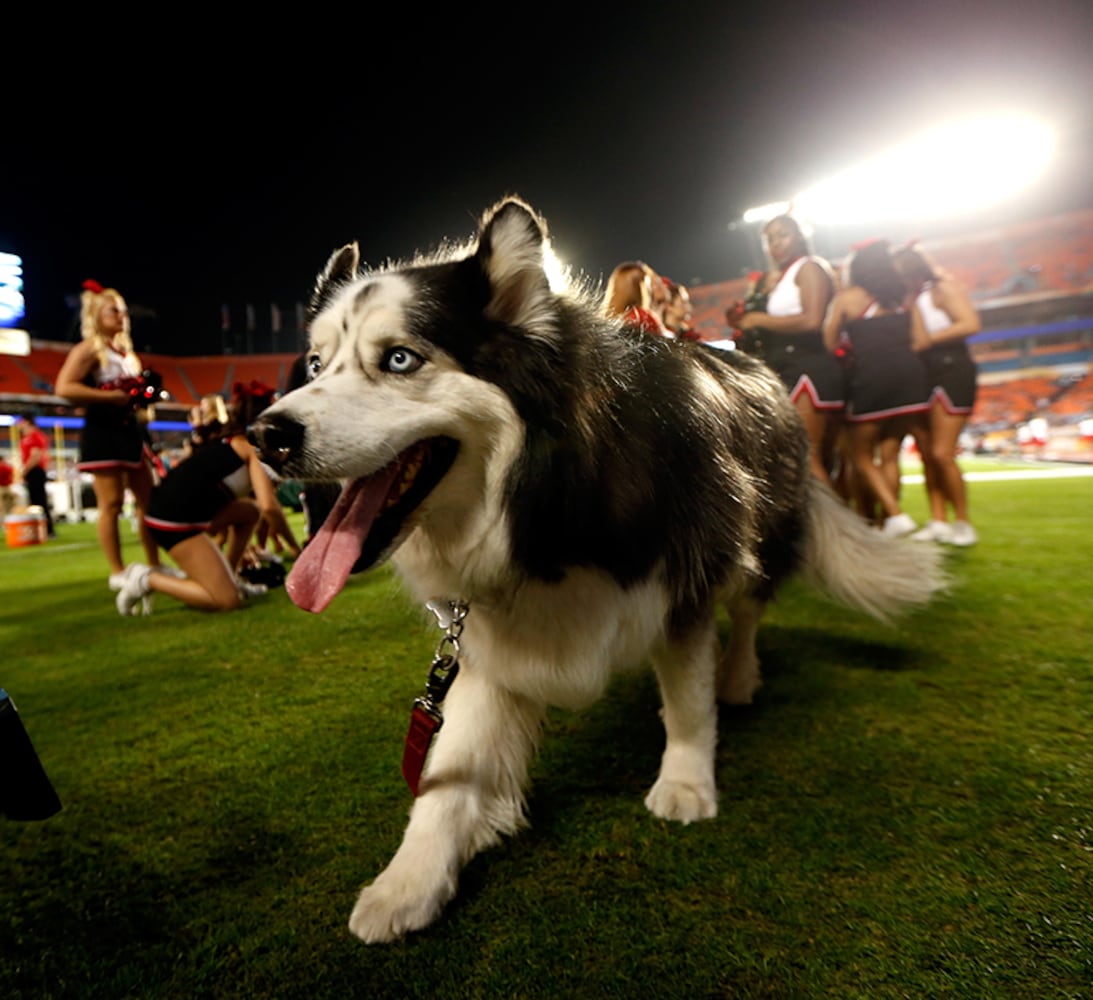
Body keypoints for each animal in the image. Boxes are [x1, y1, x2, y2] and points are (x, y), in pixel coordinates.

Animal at [250, 197, 948, 944]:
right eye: (314, 364)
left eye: (400, 358)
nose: (264, 435)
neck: (550, 503)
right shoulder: (487, 640)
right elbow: (451, 771)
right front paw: (408, 880)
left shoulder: (683, 582)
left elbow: (688, 701)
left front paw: (687, 782)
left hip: (754, 533)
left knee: (748, 609)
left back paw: (736, 676)